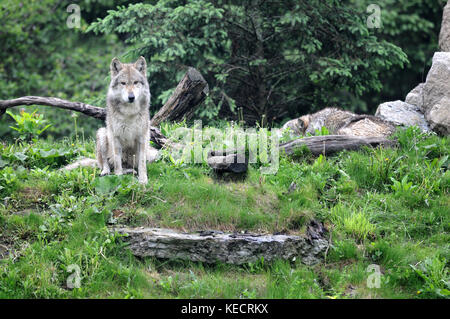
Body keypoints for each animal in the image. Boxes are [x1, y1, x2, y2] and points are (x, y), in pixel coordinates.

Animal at [95, 56, 151, 184]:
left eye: (135, 82)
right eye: (123, 83)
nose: (131, 97)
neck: (129, 113)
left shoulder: (142, 137)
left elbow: (142, 163)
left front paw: (143, 179)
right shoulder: (116, 137)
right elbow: (117, 162)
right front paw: (118, 177)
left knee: (132, 166)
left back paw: (131, 172)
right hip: (102, 133)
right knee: (106, 164)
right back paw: (107, 172)